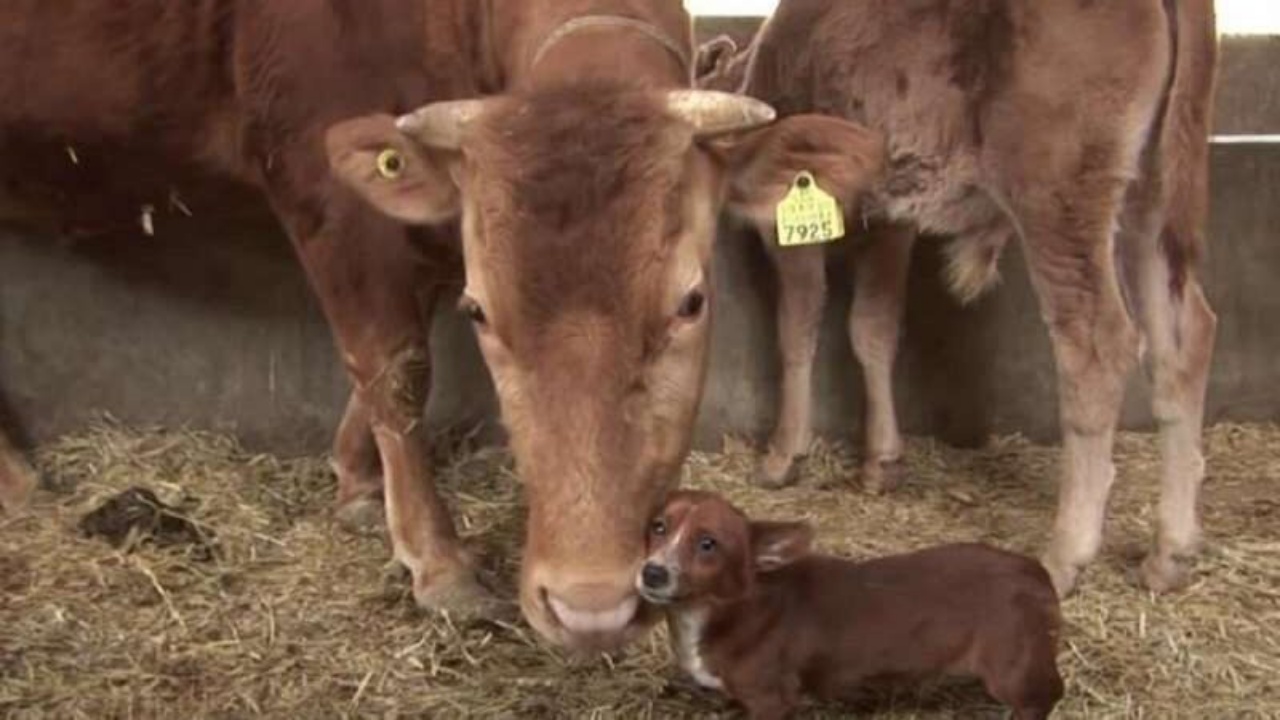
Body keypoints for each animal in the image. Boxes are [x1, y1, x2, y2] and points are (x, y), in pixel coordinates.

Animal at [0, 0, 880, 648]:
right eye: (482, 310)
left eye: (691, 302)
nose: (590, 605)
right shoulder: (328, 188)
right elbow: (393, 363)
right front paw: (437, 559)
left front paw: (357, 481)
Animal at [637, 489, 1059, 717]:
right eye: (658, 526)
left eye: (708, 544)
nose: (652, 573)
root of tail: (1037, 573)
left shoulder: (773, 699)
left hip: (1012, 671)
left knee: (1047, 695)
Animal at [701, 0, 1218, 594]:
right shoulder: (892, 218)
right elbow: (873, 328)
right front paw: (881, 461)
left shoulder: (793, 221)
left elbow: (798, 328)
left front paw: (782, 455)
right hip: (1150, 197)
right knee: (1184, 337)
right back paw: (1169, 552)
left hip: (1057, 198)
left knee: (1097, 347)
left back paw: (1065, 554)